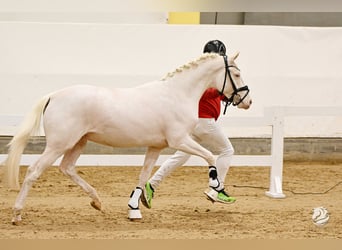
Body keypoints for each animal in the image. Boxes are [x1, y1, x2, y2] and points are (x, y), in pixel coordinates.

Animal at [2, 52, 251, 225]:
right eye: (237, 74)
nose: (248, 101)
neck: (177, 94)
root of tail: (53, 96)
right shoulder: (179, 140)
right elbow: (209, 156)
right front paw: (215, 186)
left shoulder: (156, 146)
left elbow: (143, 176)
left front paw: (135, 209)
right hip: (58, 144)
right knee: (34, 171)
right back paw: (17, 214)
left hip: (78, 142)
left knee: (67, 168)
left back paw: (97, 202)